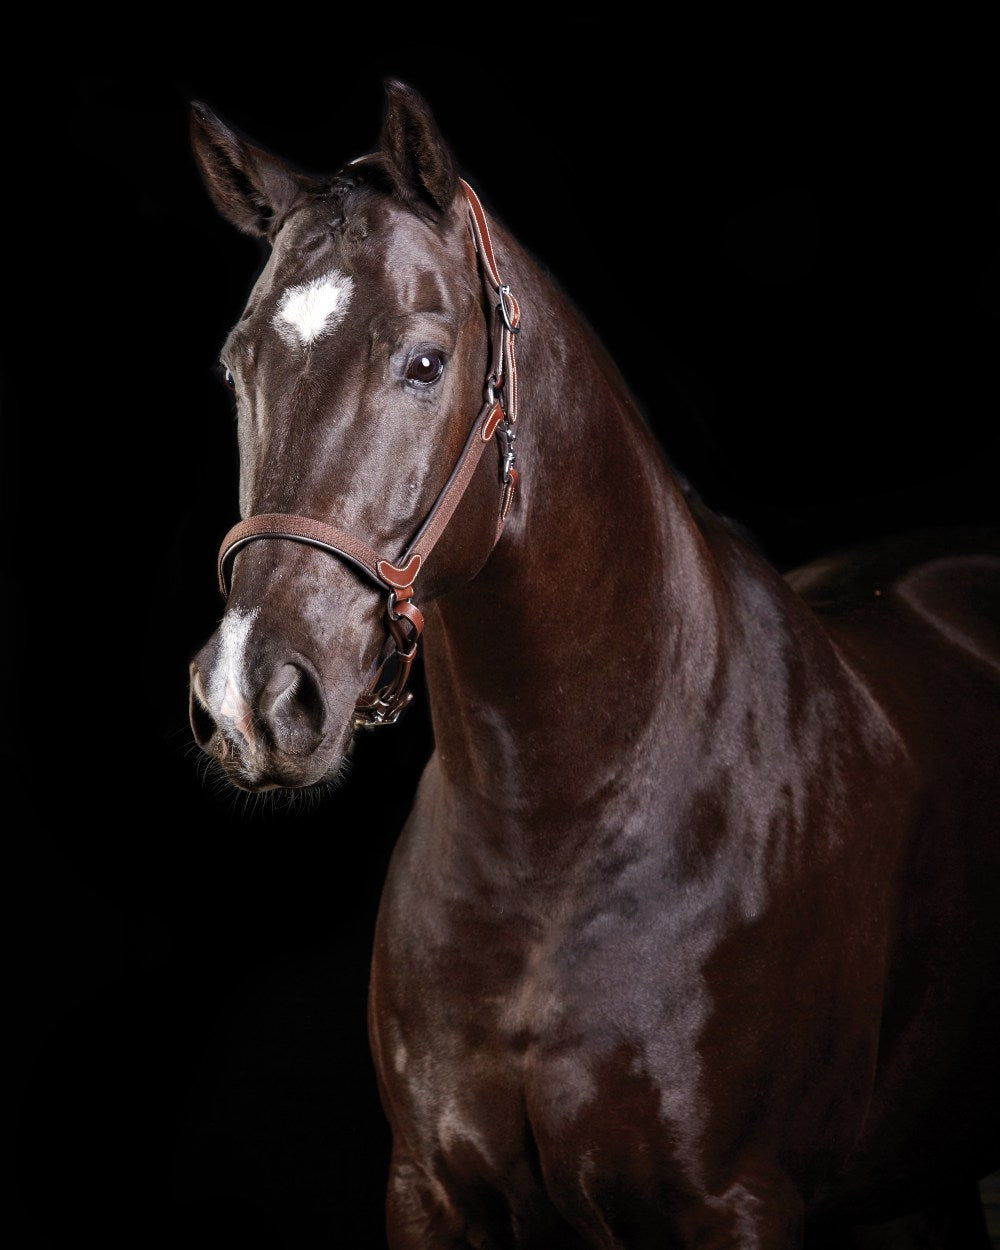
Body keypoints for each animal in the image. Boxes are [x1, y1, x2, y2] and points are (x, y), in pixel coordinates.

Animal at [187, 80, 1000, 1250]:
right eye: (237, 363)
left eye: (425, 361)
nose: (253, 695)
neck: (561, 826)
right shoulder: (428, 1192)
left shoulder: (739, 1202)